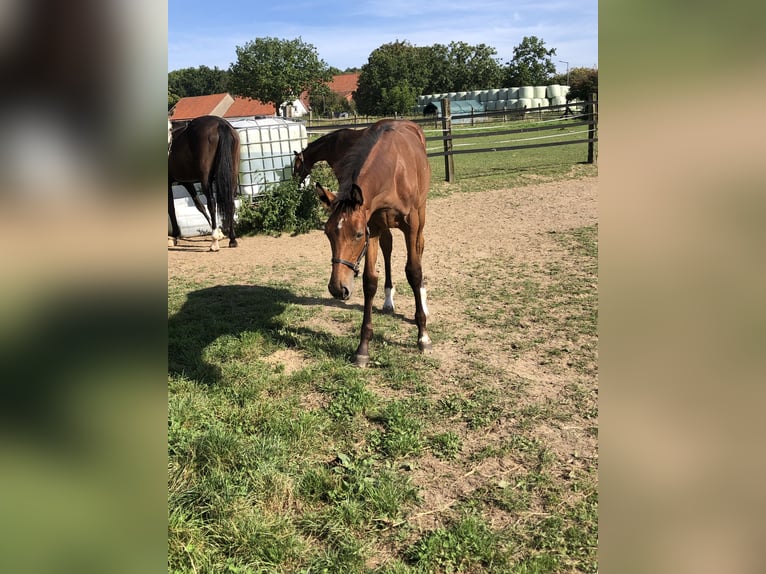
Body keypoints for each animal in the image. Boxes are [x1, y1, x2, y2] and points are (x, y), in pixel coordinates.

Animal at [168, 115, 240, 252]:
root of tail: (220, 123)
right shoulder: (186, 182)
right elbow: (199, 205)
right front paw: (220, 233)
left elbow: (171, 208)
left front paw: (173, 236)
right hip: (232, 173)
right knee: (230, 202)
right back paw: (232, 239)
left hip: (205, 179)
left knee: (212, 203)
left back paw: (214, 242)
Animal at [314, 120, 432, 368]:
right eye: (327, 233)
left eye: (358, 235)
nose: (337, 288)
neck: (393, 172)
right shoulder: (374, 227)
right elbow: (369, 282)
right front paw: (363, 349)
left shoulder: (411, 225)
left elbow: (414, 272)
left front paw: (423, 336)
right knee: (388, 248)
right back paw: (388, 300)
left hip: (422, 214)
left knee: (420, 247)